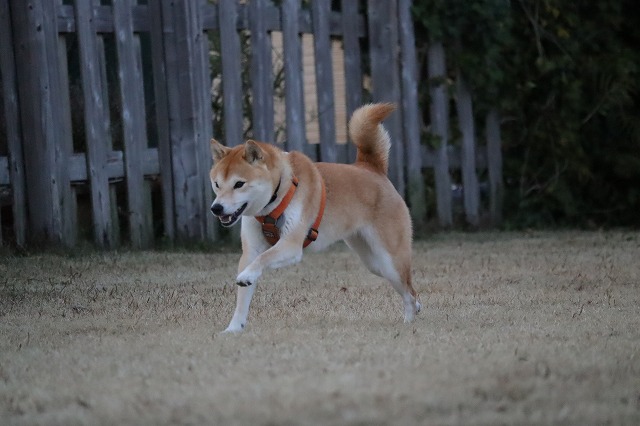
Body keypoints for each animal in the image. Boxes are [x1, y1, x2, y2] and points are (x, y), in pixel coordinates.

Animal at [209, 103, 420, 332]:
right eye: (217, 184)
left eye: (239, 184)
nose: (216, 208)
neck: (278, 193)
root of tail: (372, 168)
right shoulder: (251, 251)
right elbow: (243, 294)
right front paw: (233, 329)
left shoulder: (291, 245)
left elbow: (263, 259)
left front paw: (247, 276)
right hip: (373, 262)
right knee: (408, 289)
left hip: (390, 261)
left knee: (410, 292)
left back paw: (410, 320)